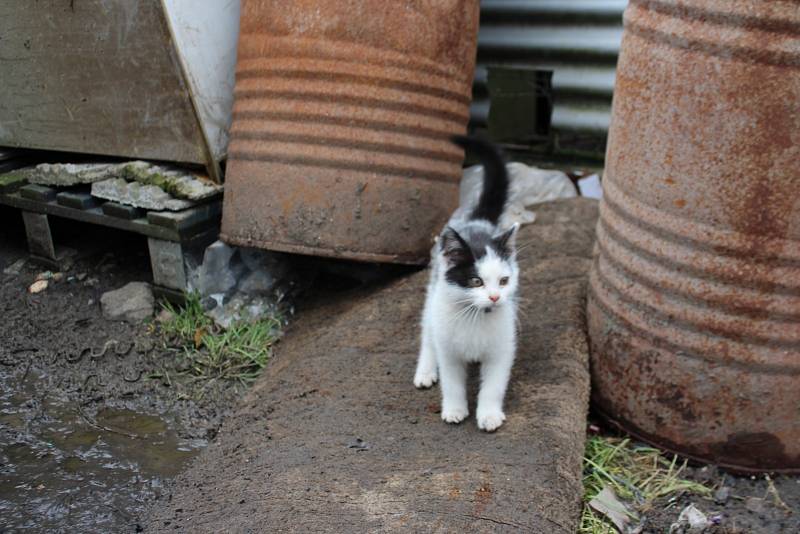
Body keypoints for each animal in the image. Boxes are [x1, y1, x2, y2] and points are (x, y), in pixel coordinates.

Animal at [412, 136, 520, 434]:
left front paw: (489, 415)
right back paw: (425, 371)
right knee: (428, 332)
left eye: (504, 281)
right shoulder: (449, 352)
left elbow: (493, 386)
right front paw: (454, 410)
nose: (495, 297)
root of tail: (476, 222)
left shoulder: (501, 350)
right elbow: (452, 383)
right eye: (476, 281)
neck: (476, 317)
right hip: (434, 293)